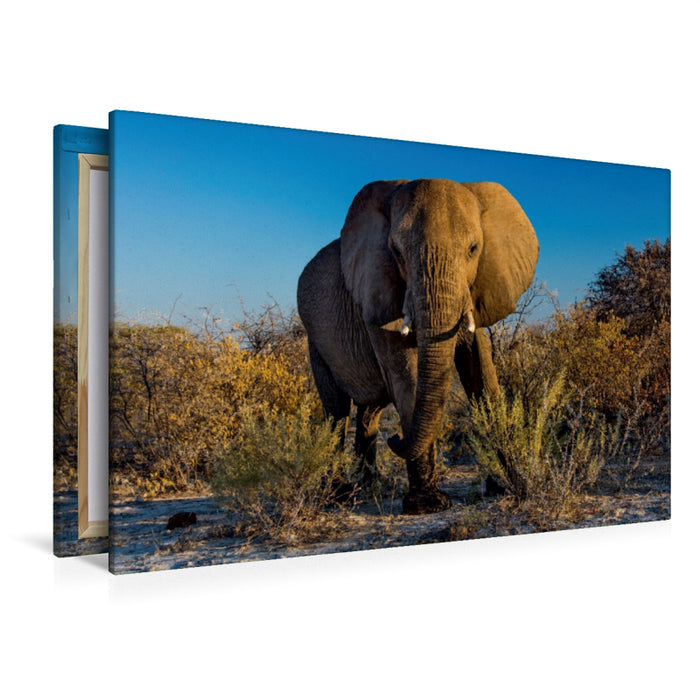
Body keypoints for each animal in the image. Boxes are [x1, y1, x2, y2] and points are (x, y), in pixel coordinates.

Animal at [297, 178, 538, 514]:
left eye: (473, 250)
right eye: (396, 251)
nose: (396, 439)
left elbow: (481, 374)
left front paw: (509, 485)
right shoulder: (377, 296)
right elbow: (407, 377)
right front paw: (428, 505)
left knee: (369, 410)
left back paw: (368, 488)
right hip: (315, 340)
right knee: (336, 411)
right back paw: (339, 496)